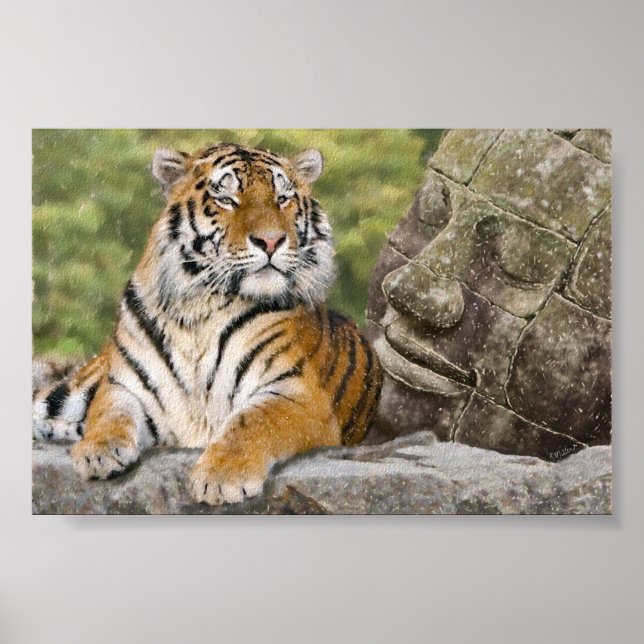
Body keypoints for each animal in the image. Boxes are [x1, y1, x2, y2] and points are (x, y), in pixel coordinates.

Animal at [33, 143, 383, 506]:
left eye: (283, 198)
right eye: (227, 199)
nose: (271, 241)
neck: (198, 310)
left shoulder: (298, 393)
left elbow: (252, 421)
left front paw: (222, 477)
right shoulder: (124, 385)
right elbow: (108, 414)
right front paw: (98, 451)